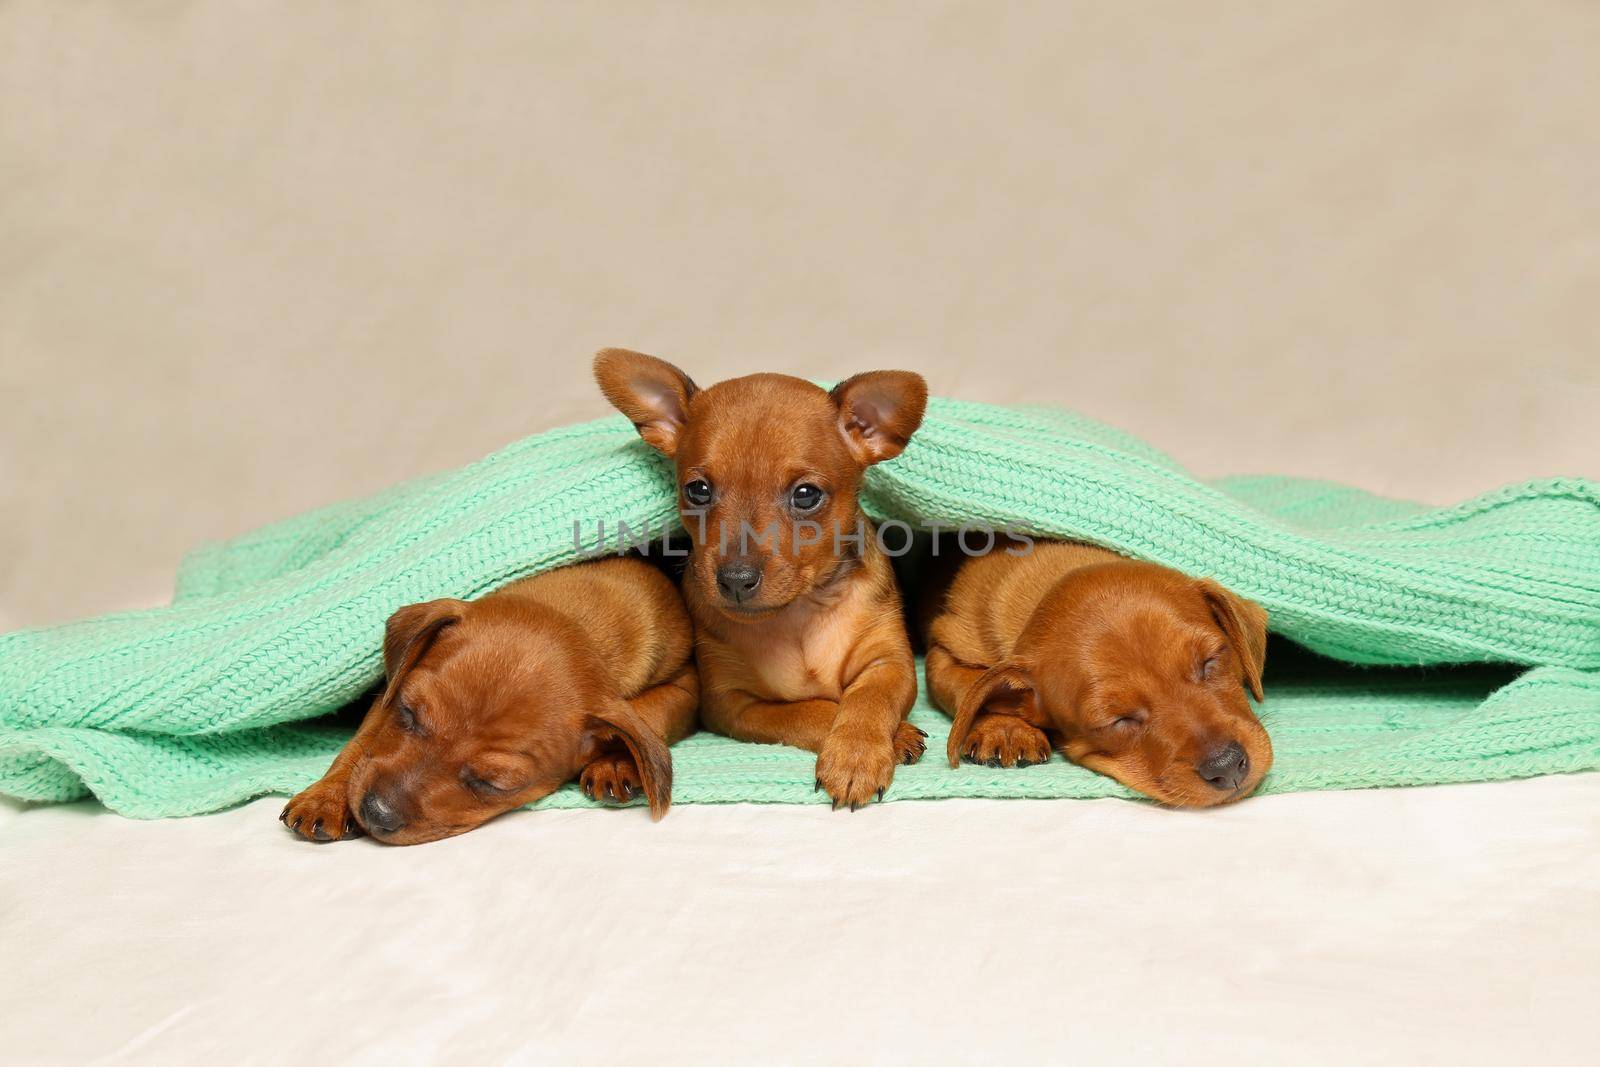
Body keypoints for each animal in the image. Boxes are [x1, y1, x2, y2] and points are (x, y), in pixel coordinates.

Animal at [276, 556, 700, 844]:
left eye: (492, 784)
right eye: (407, 714)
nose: (375, 811)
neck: (576, 614)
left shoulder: (687, 685)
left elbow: (646, 715)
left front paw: (617, 760)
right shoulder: (390, 691)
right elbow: (362, 742)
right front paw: (326, 796)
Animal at [928, 543, 1273, 809]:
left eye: (1210, 660)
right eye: (1117, 720)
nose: (1227, 766)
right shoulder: (941, 649)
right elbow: (969, 687)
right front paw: (1005, 727)